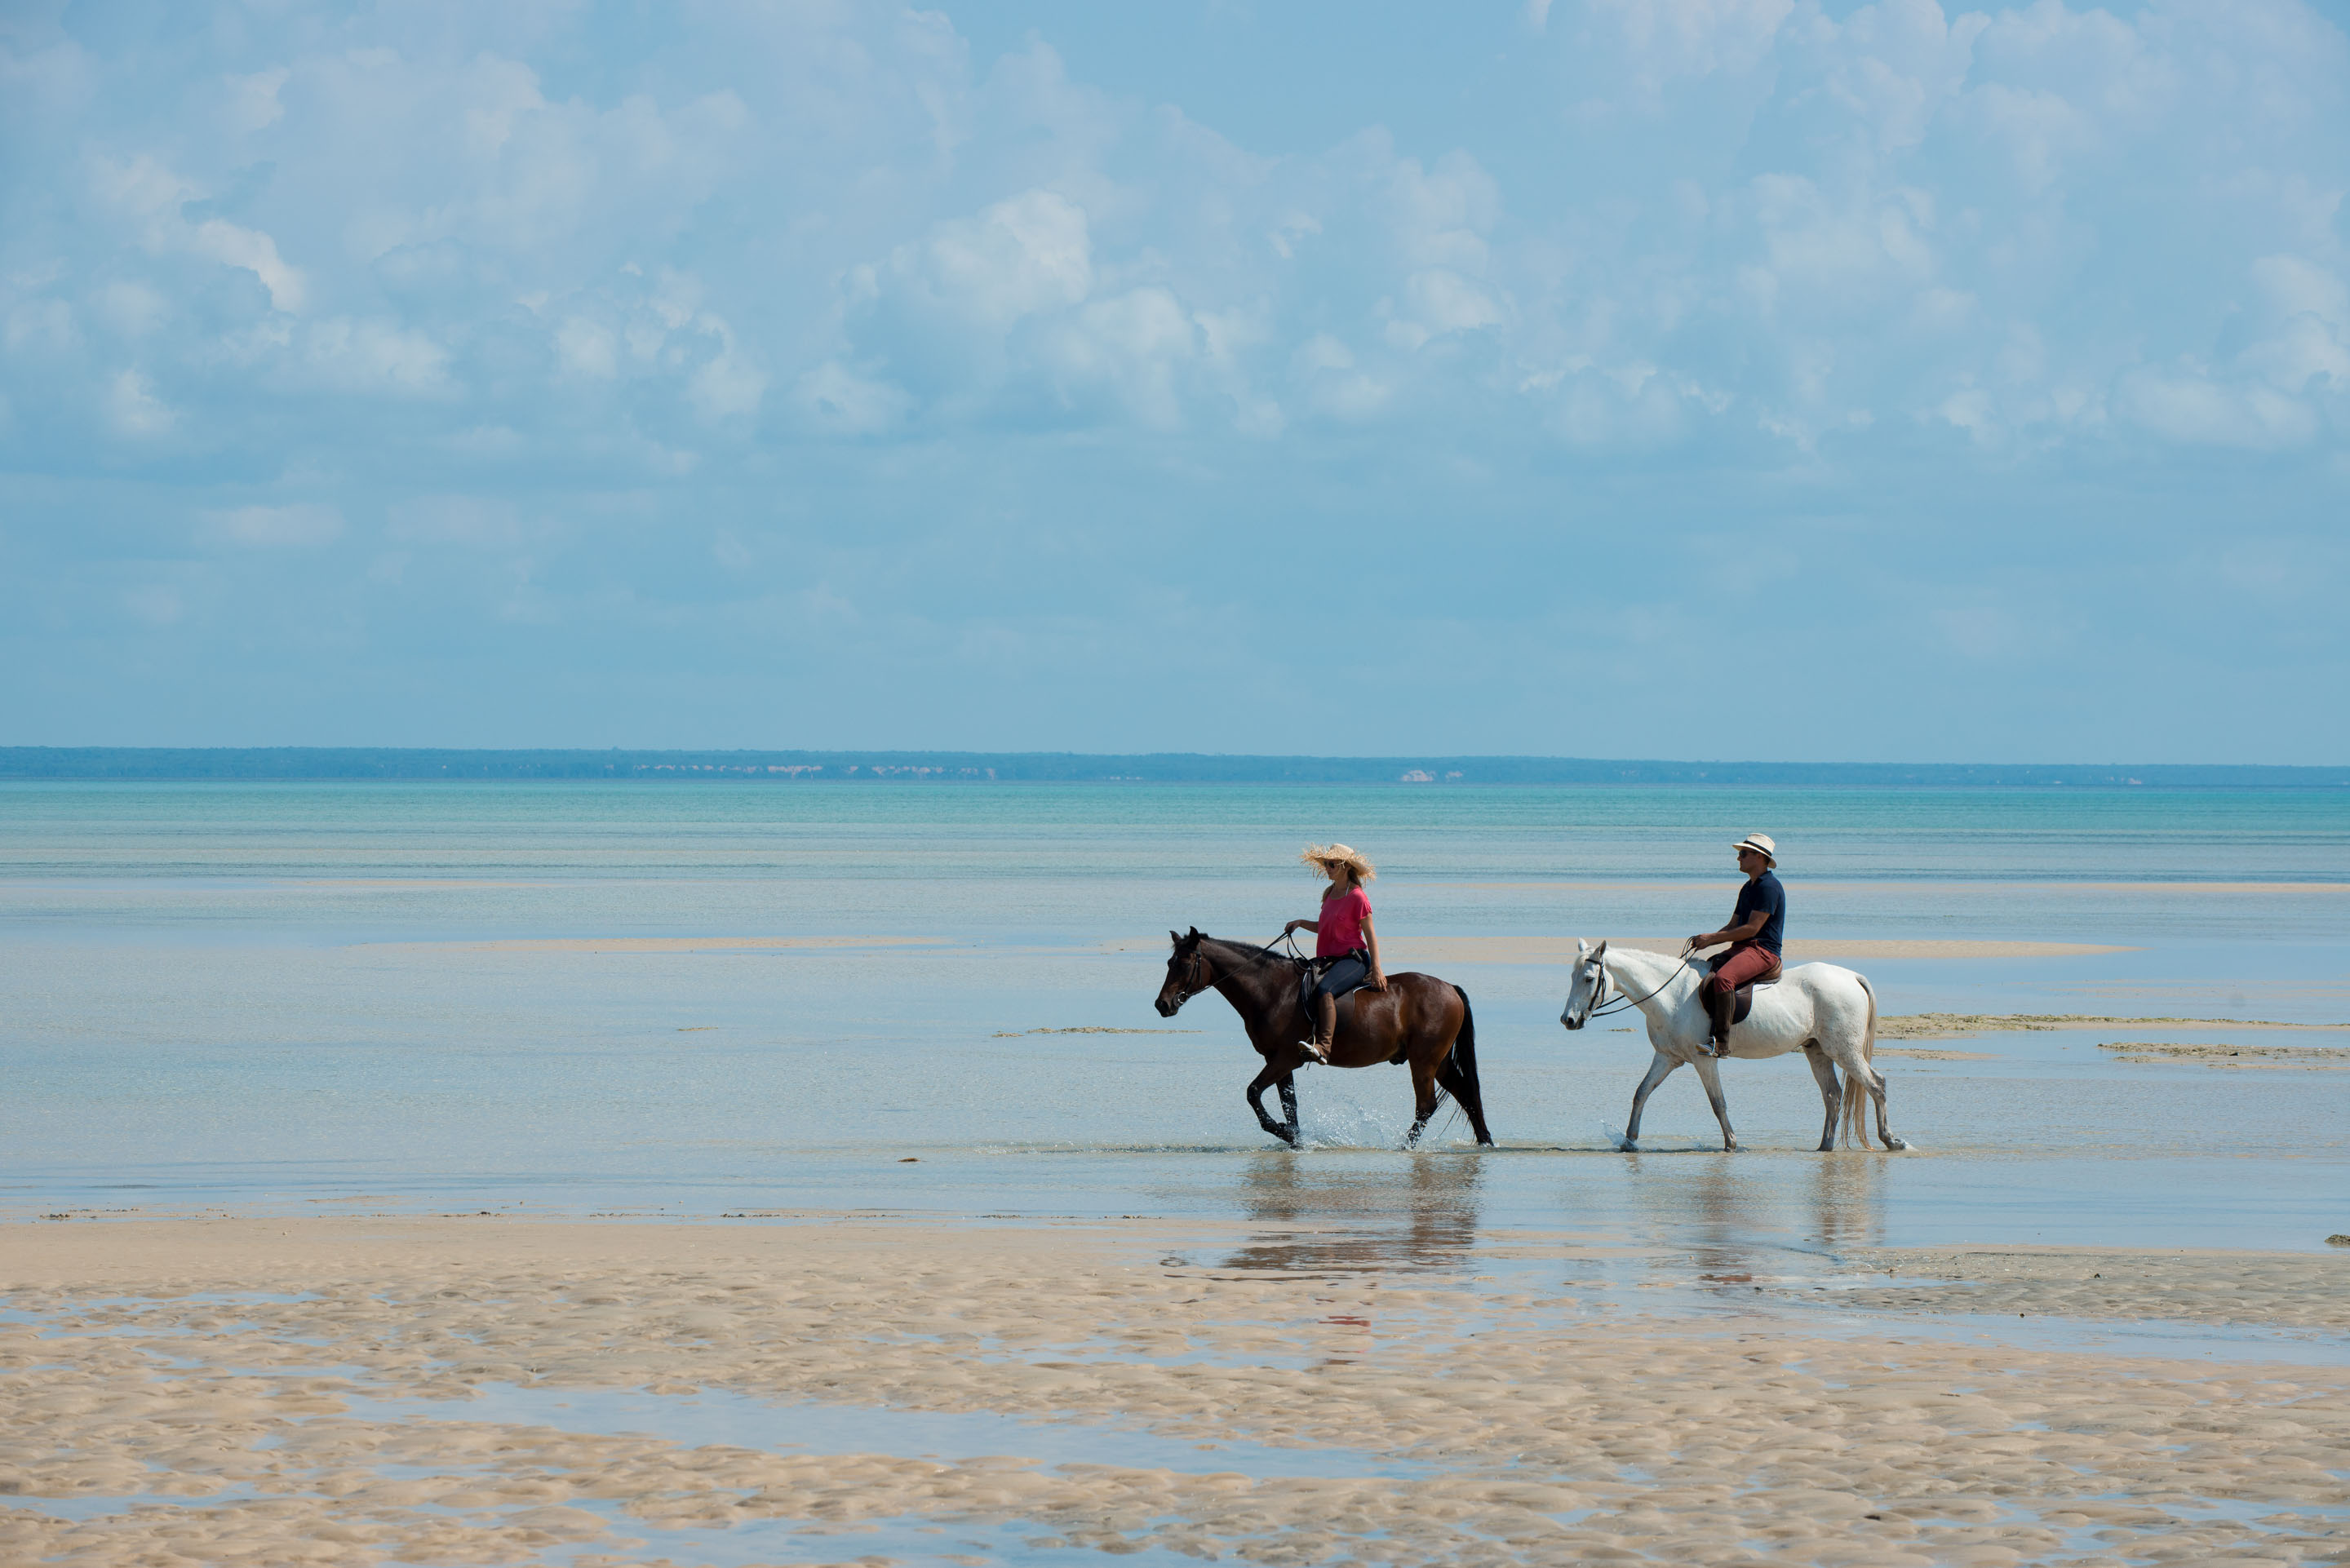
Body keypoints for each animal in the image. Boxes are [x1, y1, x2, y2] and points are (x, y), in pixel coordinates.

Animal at [1154, 928, 1493, 1150]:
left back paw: (1404, 1147)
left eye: (1184, 963)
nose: (1163, 1005)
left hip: (1424, 1060)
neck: (1271, 989)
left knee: (1426, 1105)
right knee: (1466, 1094)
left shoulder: (1286, 1057)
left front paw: (1284, 1133)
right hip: (1439, 1060)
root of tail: (1449, 988)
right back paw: (1485, 1142)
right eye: (1170, 963)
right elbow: (1289, 1104)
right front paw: (1295, 1139)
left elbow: (1253, 1093)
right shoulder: (1277, 1060)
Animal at [1558, 940, 1904, 1152]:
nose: (1569, 1020)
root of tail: (1852, 977)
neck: (1671, 994)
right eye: (1572, 976)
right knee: (1832, 1095)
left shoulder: (1704, 1059)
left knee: (1876, 1084)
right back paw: (1825, 1147)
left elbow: (1717, 1103)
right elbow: (1641, 1093)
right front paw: (1629, 1142)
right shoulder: (1667, 1058)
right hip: (1817, 1050)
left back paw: (1890, 1140)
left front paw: (1731, 1144)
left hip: (1844, 1051)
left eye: (1589, 979)